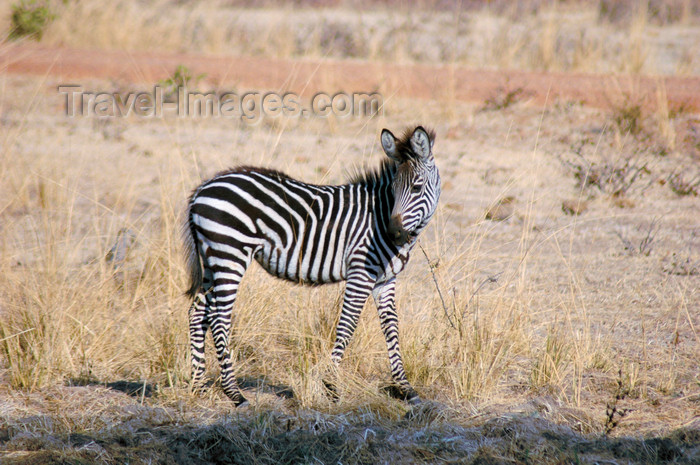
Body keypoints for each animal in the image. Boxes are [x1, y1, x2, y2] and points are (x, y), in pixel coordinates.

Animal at [183, 125, 440, 404]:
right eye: (393, 189)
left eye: (416, 187)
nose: (394, 234)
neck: (380, 216)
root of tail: (202, 189)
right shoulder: (361, 272)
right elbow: (347, 326)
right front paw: (330, 385)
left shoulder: (385, 280)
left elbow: (391, 328)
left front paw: (405, 388)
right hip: (230, 255)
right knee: (219, 318)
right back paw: (233, 392)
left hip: (212, 260)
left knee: (197, 312)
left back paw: (199, 384)